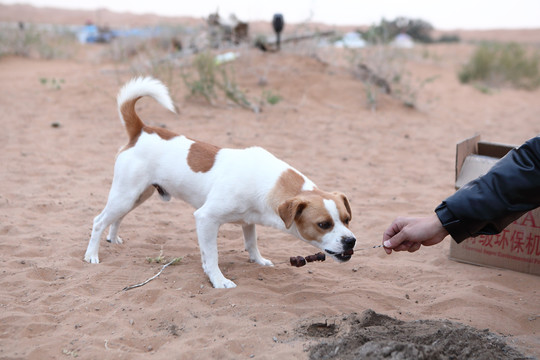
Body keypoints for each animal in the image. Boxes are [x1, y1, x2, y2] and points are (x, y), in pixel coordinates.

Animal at [83, 77, 354, 288]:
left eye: (347, 219)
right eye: (323, 224)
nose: (351, 241)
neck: (268, 182)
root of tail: (140, 130)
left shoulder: (248, 221)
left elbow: (251, 243)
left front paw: (258, 260)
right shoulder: (206, 219)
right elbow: (211, 256)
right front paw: (218, 280)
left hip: (138, 195)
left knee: (116, 218)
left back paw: (113, 239)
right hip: (125, 194)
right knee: (98, 221)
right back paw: (92, 255)